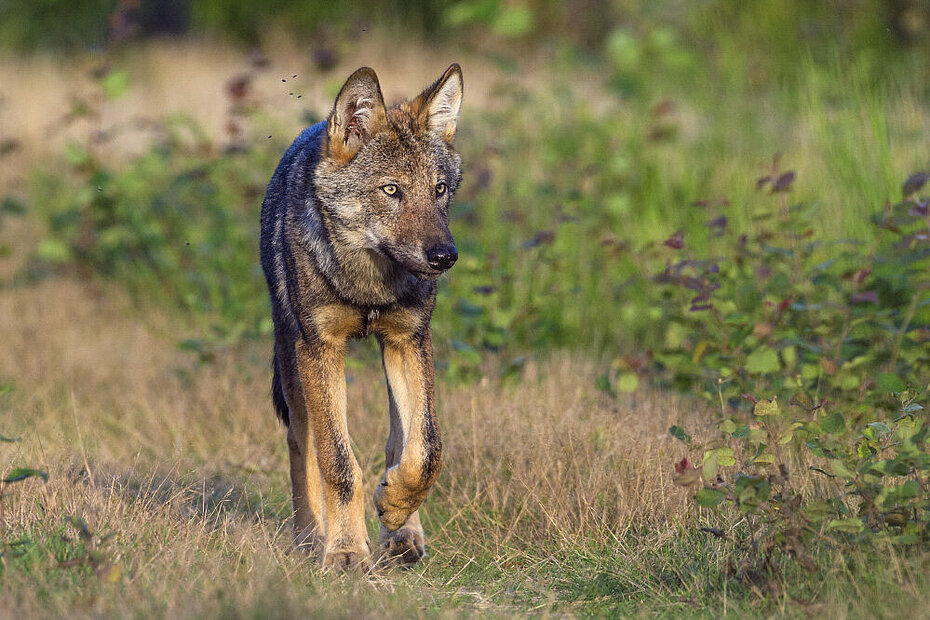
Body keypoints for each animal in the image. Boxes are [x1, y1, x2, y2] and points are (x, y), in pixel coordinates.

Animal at [260, 64, 462, 572]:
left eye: (439, 190)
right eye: (391, 190)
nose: (445, 256)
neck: (369, 284)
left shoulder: (410, 339)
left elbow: (427, 449)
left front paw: (394, 507)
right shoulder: (320, 347)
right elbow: (337, 461)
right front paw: (346, 551)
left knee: (399, 442)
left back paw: (403, 532)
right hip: (292, 361)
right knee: (301, 445)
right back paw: (310, 537)